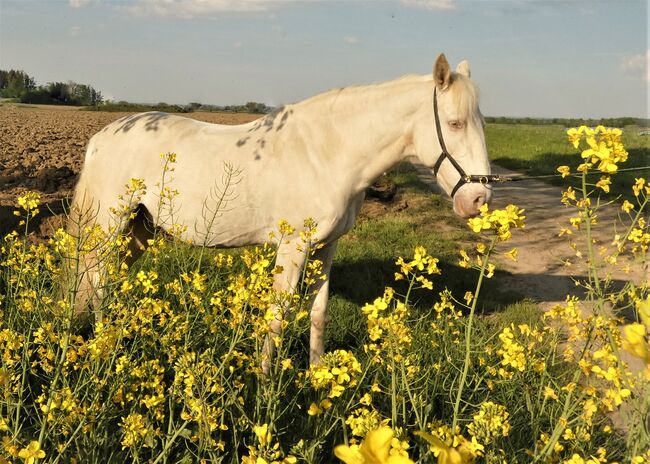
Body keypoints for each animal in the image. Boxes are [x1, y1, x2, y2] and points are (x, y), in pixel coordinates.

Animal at [68, 53, 488, 366]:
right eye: (454, 123)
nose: (478, 201)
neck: (327, 154)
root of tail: (104, 135)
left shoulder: (326, 248)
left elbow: (318, 311)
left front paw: (317, 377)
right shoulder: (294, 247)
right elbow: (277, 315)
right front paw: (265, 380)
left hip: (139, 229)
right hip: (111, 225)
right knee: (98, 281)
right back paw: (104, 347)